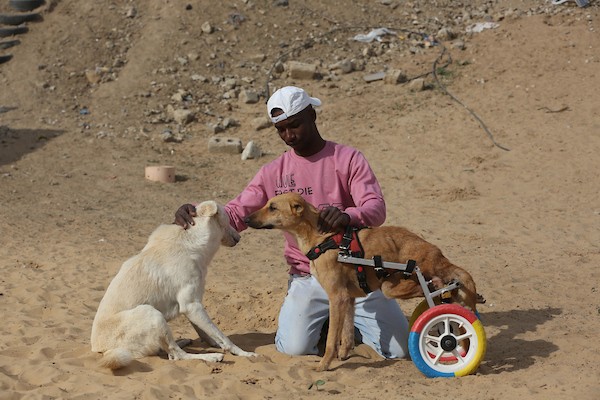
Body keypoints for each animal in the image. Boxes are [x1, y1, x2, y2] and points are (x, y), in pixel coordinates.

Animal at [91, 200, 255, 368]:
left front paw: (215, 343)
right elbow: (222, 336)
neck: (191, 241)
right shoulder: (192, 306)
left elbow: (206, 332)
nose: (239, 237)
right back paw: (211, 357)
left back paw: (183, 341)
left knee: (169, 351)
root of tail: (99, 349)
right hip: (152, 314)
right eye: (228, 221)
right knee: (176, 355)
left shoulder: (193, 307)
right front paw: (243, 353)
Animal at [244, 192, 482, 370]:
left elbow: (331, 340)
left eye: (272, 207)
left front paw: (323, 365)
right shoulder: (348, 299)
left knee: (436, 288)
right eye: (266, 204)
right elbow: (347, 333)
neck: (322, 238)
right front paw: (344, 354)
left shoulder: (337, 297)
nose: (246, 219)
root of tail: (437, 253)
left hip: (391, 285)